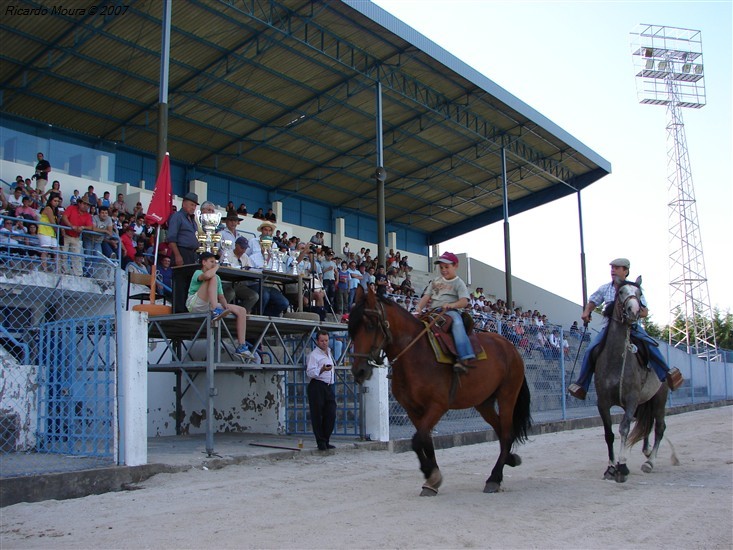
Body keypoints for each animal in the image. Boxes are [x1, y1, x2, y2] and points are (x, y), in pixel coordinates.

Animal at [346, 286, 528, 498]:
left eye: (370, 325)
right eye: (351, 327)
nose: (359, 371)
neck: (416, 354)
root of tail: (510, 347)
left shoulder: (438, 406)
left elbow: (418, 440)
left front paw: (431, 475)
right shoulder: (412, 409)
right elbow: (425, 440)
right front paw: (431, 479)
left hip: (507, 396)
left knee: (506, 433)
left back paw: (494, 478)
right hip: (484, 403)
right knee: (500, 431)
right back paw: (509, 460)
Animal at [596, 278, 668, 486]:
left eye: (639, 293)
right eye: (621, 292)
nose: (634, 310)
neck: (616, 360)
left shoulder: (631, 400)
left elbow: (624, 428)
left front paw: (622, 467)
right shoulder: (602, 402)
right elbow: (609, 434)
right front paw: (610, 468)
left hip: (659, 399)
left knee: (659, 427)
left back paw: (650, 462)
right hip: (645, 403)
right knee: (647, 425)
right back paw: (646, 452)